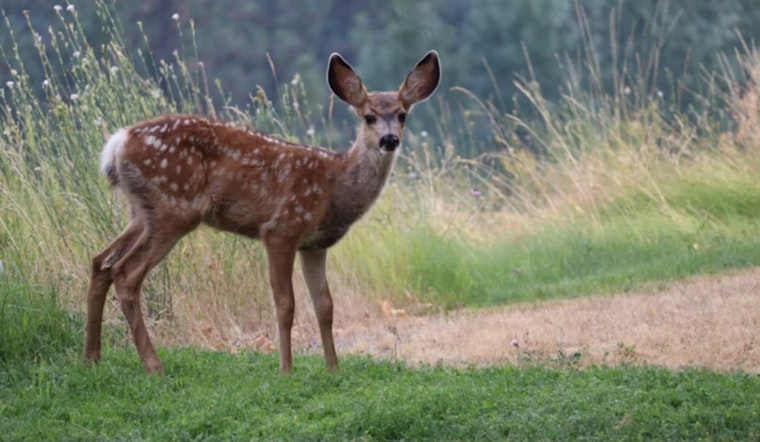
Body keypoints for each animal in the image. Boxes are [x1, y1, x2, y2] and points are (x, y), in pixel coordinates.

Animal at [83, 50, 441, 375]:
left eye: (402, 114)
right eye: (368, 116)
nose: (389, 139)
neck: (335, 185)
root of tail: (117, 143)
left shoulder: (314, 244)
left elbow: (324, 306)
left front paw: (333, 370)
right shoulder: (282, 228)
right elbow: (285, 304)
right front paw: (286, 370)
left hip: (141, 212)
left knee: (101, 262)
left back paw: (93, 358)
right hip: (174, 208)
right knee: (126, 273)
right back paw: (153, 366)